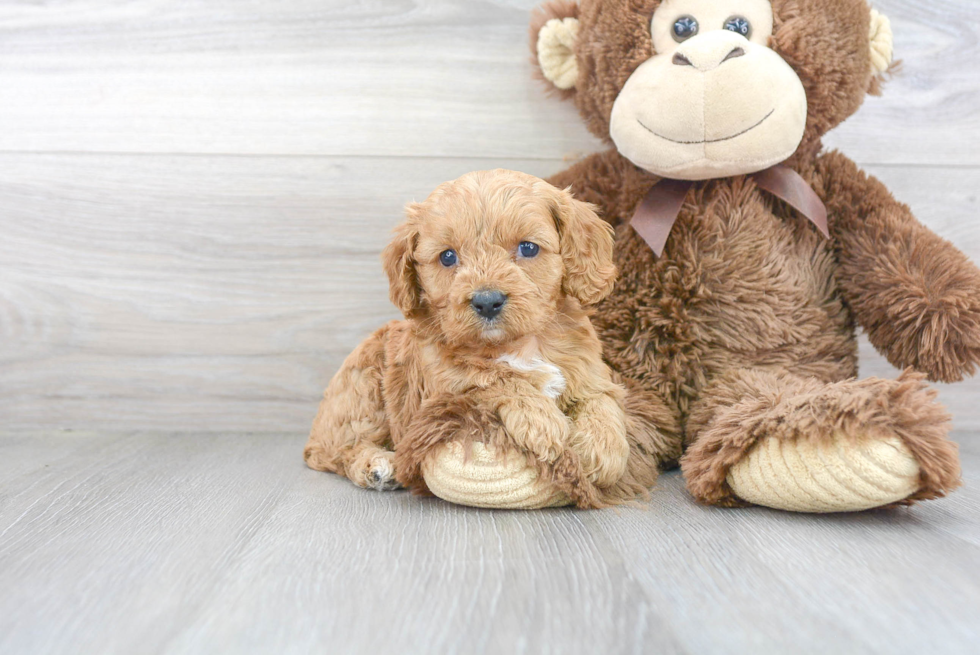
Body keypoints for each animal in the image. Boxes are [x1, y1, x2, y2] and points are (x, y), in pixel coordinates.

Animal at [306, 169, 640, 508]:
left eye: (528, 248)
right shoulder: (443, 384)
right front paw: (541, 423)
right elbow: (496, 379)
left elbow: (601, 401)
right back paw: (376, 466)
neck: (518, 344)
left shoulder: (589, 371)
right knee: (337, 451)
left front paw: (604, 451)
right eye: (448, 257)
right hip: (364, 389)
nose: (487, 301)